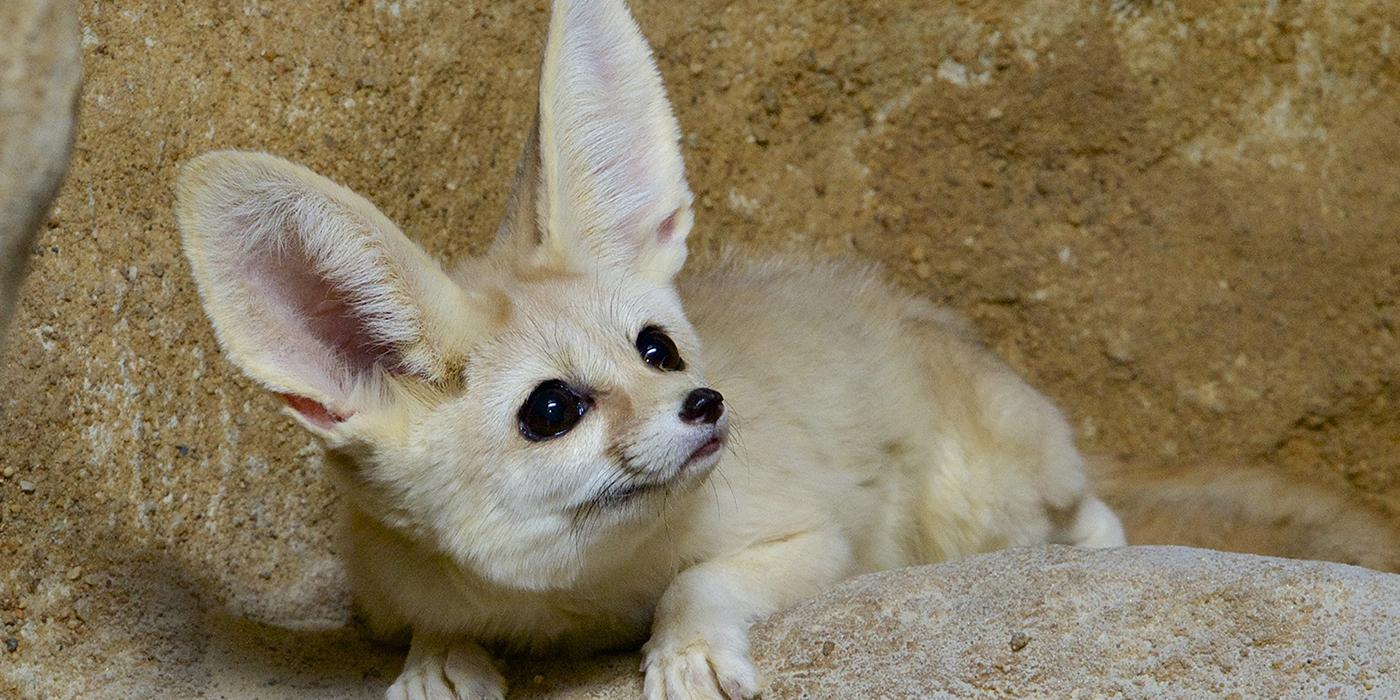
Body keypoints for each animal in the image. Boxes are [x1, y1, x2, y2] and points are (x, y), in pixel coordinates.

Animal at [175, 0, 1125, 694]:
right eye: (551, 409)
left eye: (657, 349)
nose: (705, 403)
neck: (585, 596)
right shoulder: (384, 590)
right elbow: (432, 624)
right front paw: (440, 664)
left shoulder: (812, 539)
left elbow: (696, 583)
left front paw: (687, 651)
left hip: (989, 503)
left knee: (1090, 518)